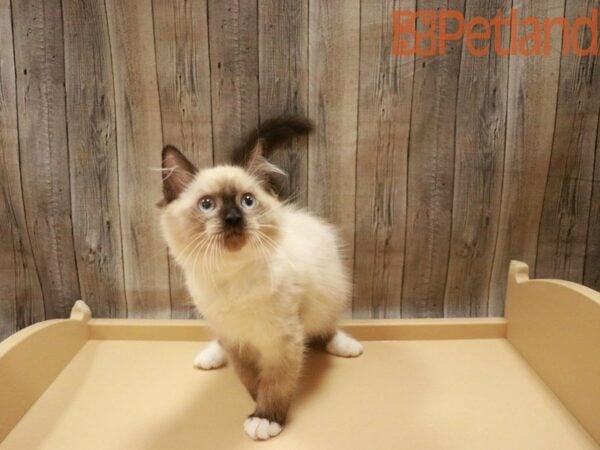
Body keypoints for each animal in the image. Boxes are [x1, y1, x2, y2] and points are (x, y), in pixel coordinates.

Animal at [157, 115, 360, 440]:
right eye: (207, 205)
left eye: (247, 201)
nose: (233, 219)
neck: (232, 278)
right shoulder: (235, 337)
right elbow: (251, 379)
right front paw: (256, 406)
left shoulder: (284, 340)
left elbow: (275, 383)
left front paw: (266, 418)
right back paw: (209, 357)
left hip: (327, 297)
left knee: (325, 328)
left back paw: (347, 346)